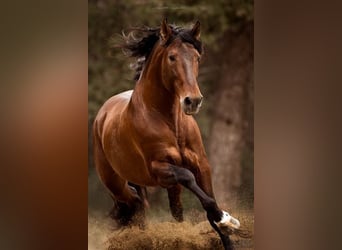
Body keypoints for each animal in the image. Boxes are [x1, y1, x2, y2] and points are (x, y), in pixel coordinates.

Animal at [92, 18, 239, 249]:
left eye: (197, 57)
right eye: (172, 57)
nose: (192, 101)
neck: (170, 122)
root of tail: (102, 115)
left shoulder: (202, 164)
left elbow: (208, 199)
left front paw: (224, 227)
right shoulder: (159, 169)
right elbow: (190, 179)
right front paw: (225, 218)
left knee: (169, 209)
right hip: (116, 184)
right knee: (134, 202)